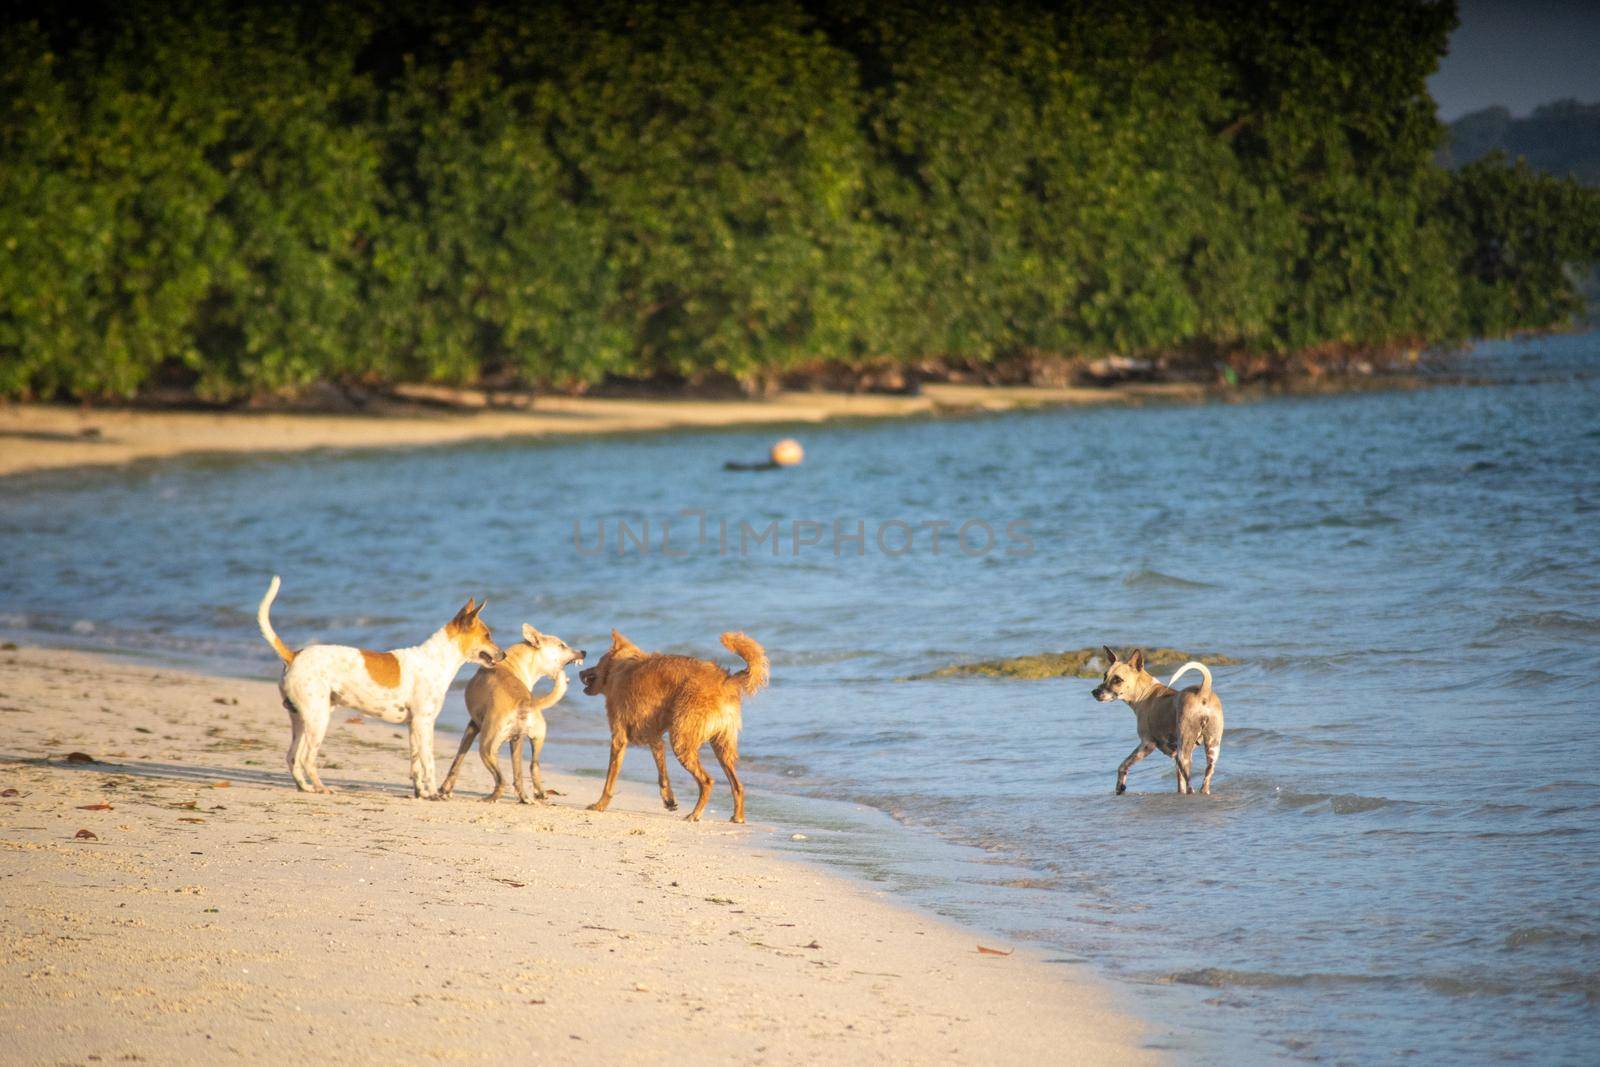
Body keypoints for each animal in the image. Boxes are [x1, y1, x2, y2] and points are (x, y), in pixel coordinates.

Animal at [257, 579, 505, 796]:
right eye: (487, 635)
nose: (503, 654)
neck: (436, 659)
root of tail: (294, 655)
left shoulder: (413, 726)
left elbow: (416, 763)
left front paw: (421, 793)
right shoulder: (424, 723)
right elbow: (429, 763)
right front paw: (434, 793)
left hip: (301, 719)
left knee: (292, 757)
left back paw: (305, 787)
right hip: (318, 719)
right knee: (306, 759)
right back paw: (322, 788)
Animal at [438, 627, 588, 799]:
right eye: (562, 645)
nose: (584, 652)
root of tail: (525, 702)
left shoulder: (473, 725)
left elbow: (458, 759)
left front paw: (445, 789)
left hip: (486, 746)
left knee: (500, 779)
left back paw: (492, 798)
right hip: (532, 739)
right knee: (529, 768)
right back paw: (531, 796)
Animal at [582, 630, 768, 825]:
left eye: (596, 663)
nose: (580, 671)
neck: (617, 669)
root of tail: (726, 681)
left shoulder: (619, 737)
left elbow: (610, 779)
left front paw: (600, 805)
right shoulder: (654, 739)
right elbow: (662, 774)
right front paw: (669, 800)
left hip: (681, 742)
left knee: (707, 781)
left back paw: (695, 814)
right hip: (721, 746)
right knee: (737, 785)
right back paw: (737, 816)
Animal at [1088, 646, 1222, 796]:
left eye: (1117, 679)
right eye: (1105, 676)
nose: (1095, 692)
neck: (1145, 692)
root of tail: (1203, 692)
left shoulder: (1147, 744)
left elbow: (1123, 764)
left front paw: (1120, 786)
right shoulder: (1175, 757)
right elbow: (1179, 782)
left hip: (1184, 751)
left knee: (1190, 786)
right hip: (1212, 747)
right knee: (1205, 778)